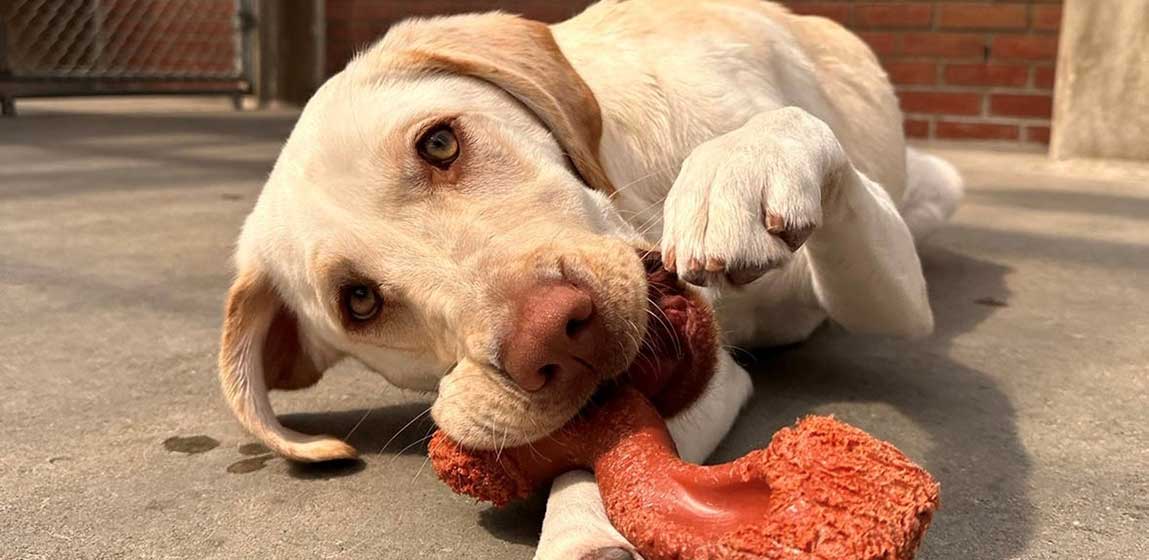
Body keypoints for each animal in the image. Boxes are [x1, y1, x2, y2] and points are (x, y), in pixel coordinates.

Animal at [216, 2, 960, 558]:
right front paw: (581, 531)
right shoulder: (706, 377)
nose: (553, 337)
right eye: (359, 301)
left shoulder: (896, 298)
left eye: (439, 143)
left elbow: (794, 129)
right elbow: (606, 449)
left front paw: (739, 166)